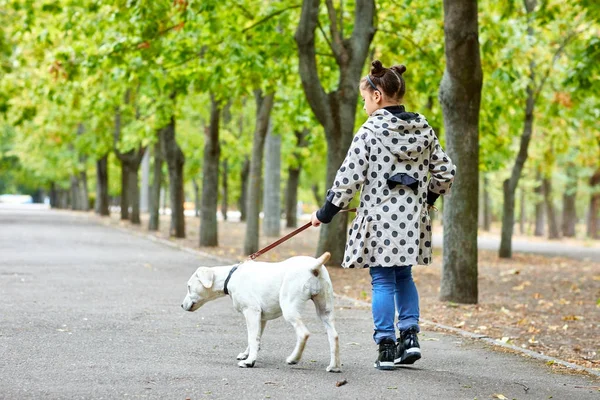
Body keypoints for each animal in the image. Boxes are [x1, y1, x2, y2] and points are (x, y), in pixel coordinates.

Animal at [180, 253, 340, 372]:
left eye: (189, 287)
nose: (181, 305)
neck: (230, 277)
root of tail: (313, 267)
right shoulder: (261, 318)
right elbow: (255, 338)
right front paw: (246, 355)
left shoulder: (251, 312)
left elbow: (251, 338)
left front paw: (249, 362)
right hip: (325, 311)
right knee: (334, 336)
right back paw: (334, 366)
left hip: (289, 309)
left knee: (304, 333)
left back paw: (293, 359)